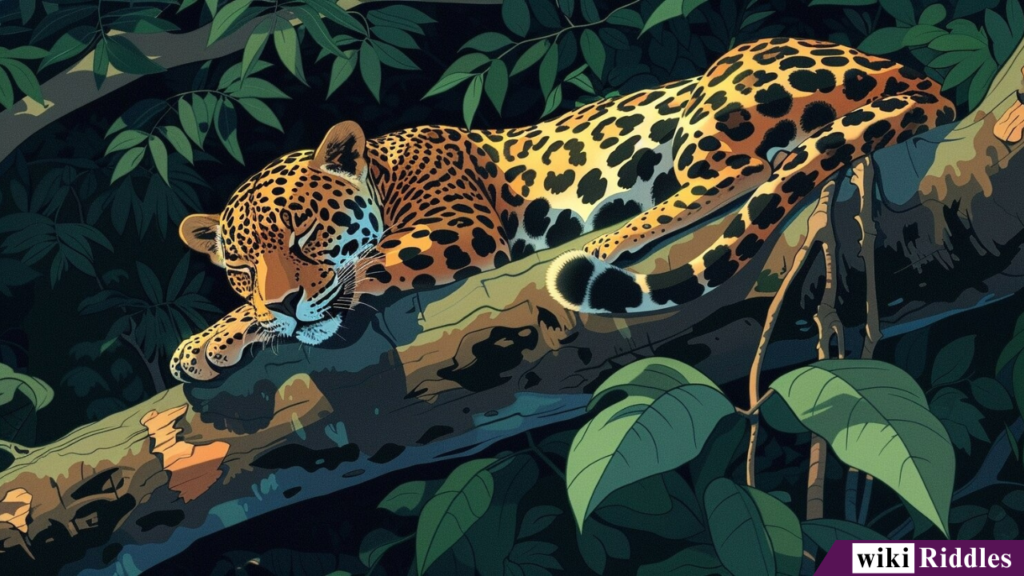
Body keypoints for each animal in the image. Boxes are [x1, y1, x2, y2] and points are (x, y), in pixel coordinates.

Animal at [171, 37, 954, 382]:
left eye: (307, 234)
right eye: (237, 266)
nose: (280, 302)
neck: (388, 170)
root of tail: (910, 73)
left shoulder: (457, 227)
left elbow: (359, 270)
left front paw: (215, 336)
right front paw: (227, 329)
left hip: (721, 86)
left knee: (734, 175)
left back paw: (607, 239)